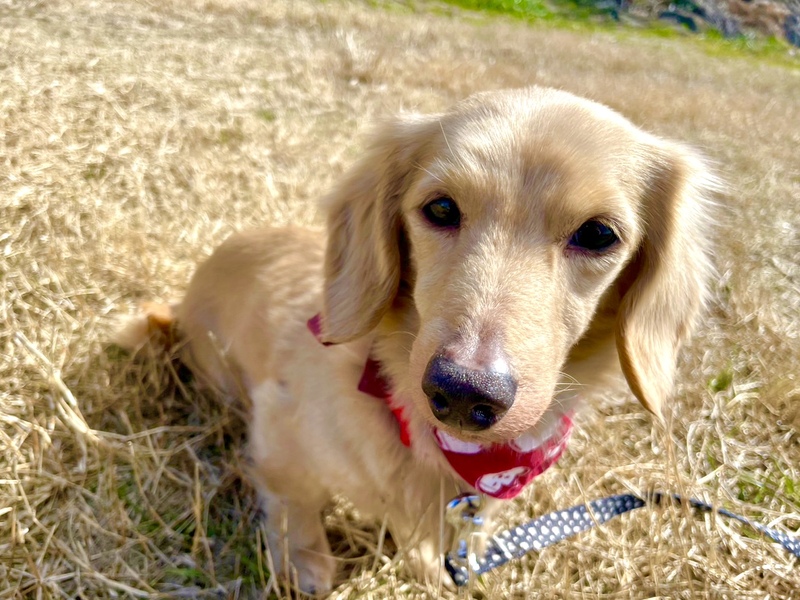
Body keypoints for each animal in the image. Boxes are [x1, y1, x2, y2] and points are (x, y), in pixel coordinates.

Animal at [117, 87, 715, 594]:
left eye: (598, 234)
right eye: (441, 208)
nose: (464, 392)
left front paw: (431, 566)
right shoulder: (278, 421)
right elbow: (293, 495)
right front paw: (305, 560)